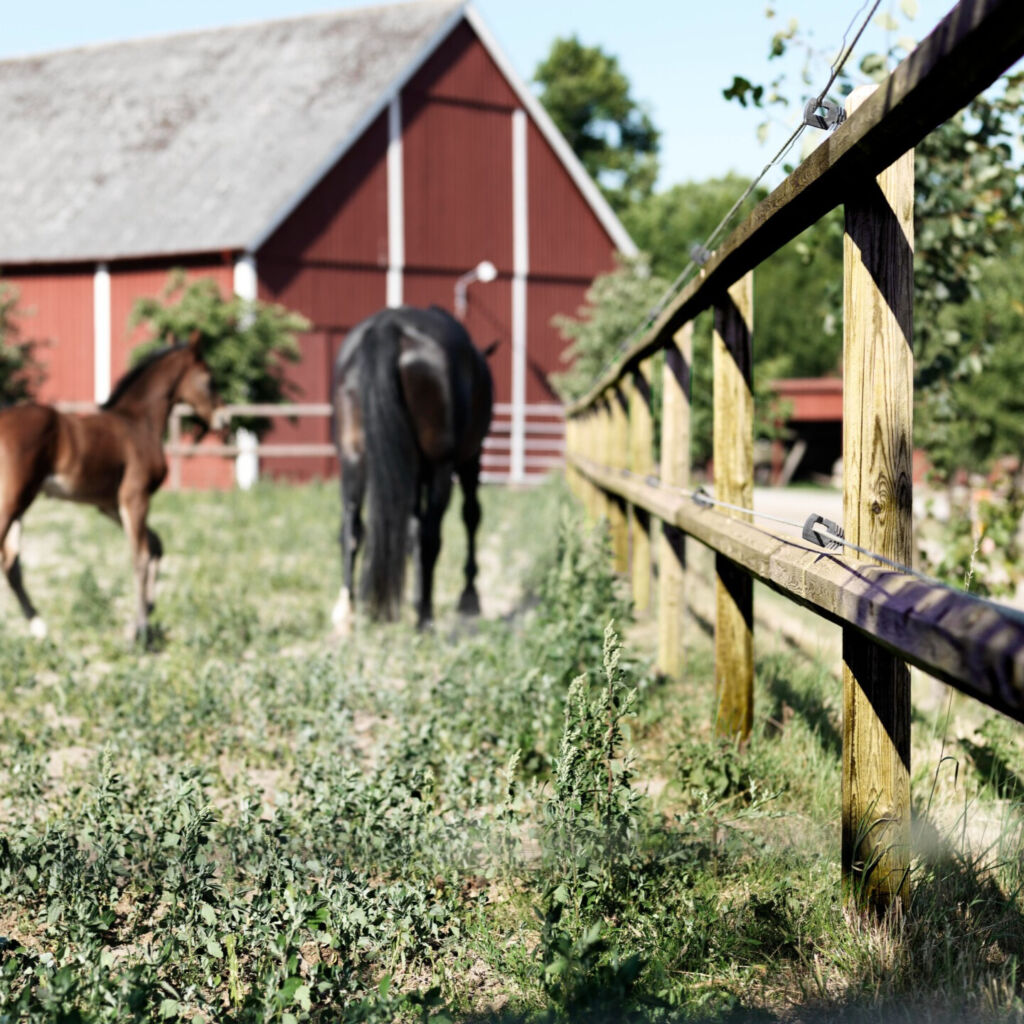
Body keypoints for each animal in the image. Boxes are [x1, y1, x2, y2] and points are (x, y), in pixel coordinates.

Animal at [329, 301, 493, 630]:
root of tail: (389, 327)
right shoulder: (470, 459)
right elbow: (469, 516)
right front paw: (469, 595)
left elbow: (408, 530)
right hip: (443, 466)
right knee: (432, 535)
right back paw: (425, 617)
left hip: (353, 457)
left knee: (351, 528)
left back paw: (347, 611)